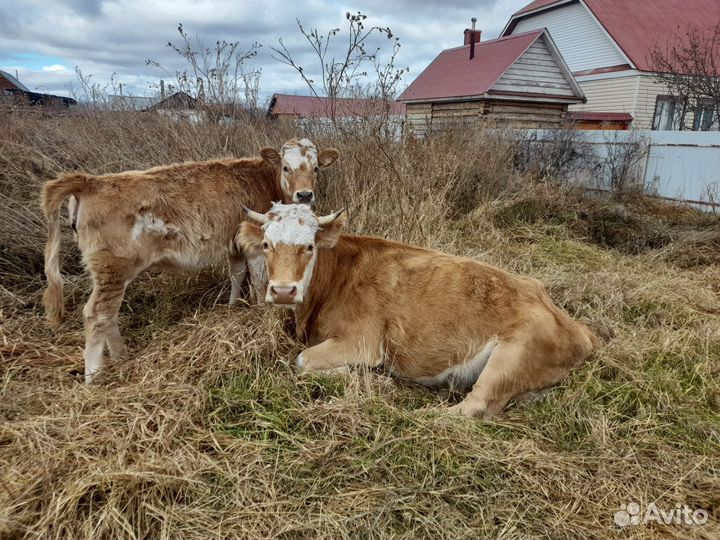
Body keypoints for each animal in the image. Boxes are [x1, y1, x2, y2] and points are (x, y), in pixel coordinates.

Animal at [41, 138, 339, 383]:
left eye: (316, 169)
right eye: (286, 167)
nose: (304, 195)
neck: (263, 179)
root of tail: (92, 181)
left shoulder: (233, 242)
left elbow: (236, 274)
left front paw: (233, 306)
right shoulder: (256, 246)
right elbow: (257, 281)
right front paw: (261, 316)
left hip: (111, 273)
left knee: (109, 315)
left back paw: (121, 355)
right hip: (112, 267)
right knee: (96, 314)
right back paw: (94, 376)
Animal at [237, 203, 598, 418]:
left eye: (309, 246)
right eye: (267, 245)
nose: (283, 290)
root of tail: (577, 327)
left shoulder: (363, 343)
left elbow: (302, 360)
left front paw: (371, 380)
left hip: (512, 356)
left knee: (475, 406)